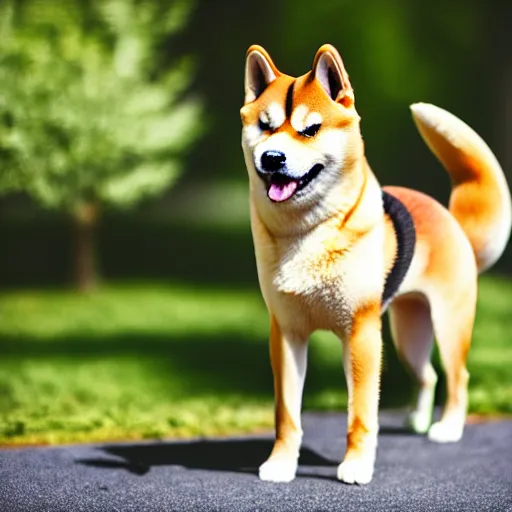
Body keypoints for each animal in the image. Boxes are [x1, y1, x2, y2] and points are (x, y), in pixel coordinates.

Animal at [240, 44, 512, 484]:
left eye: (310, 130)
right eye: (265, 126)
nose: (272, 158)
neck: (308, 232)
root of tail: (452, 221)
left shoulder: (362, 334)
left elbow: (361, 413)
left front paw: (355, 466)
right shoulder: (286, 335)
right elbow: (287, 414)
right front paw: (281, 464)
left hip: (448, 326)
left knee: (457, 377)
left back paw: (448, 428)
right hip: (408, 334)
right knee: (428, 374)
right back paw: (418, 420)